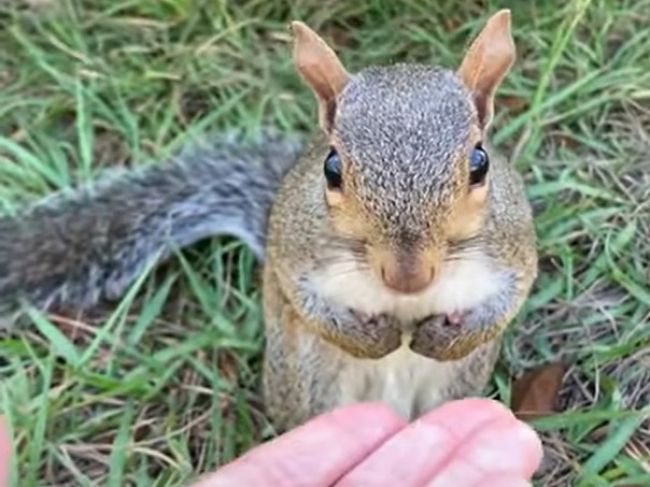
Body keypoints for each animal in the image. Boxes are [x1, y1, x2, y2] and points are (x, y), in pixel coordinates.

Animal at [0, 10, 536, 430]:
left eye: (480, 162)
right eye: (332, 168)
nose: (409, 277)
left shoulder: (512, 246)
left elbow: (510, 298)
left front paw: (448, 338)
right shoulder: (293, 248)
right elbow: (302, 298)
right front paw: (371, 337)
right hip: (308, 381)